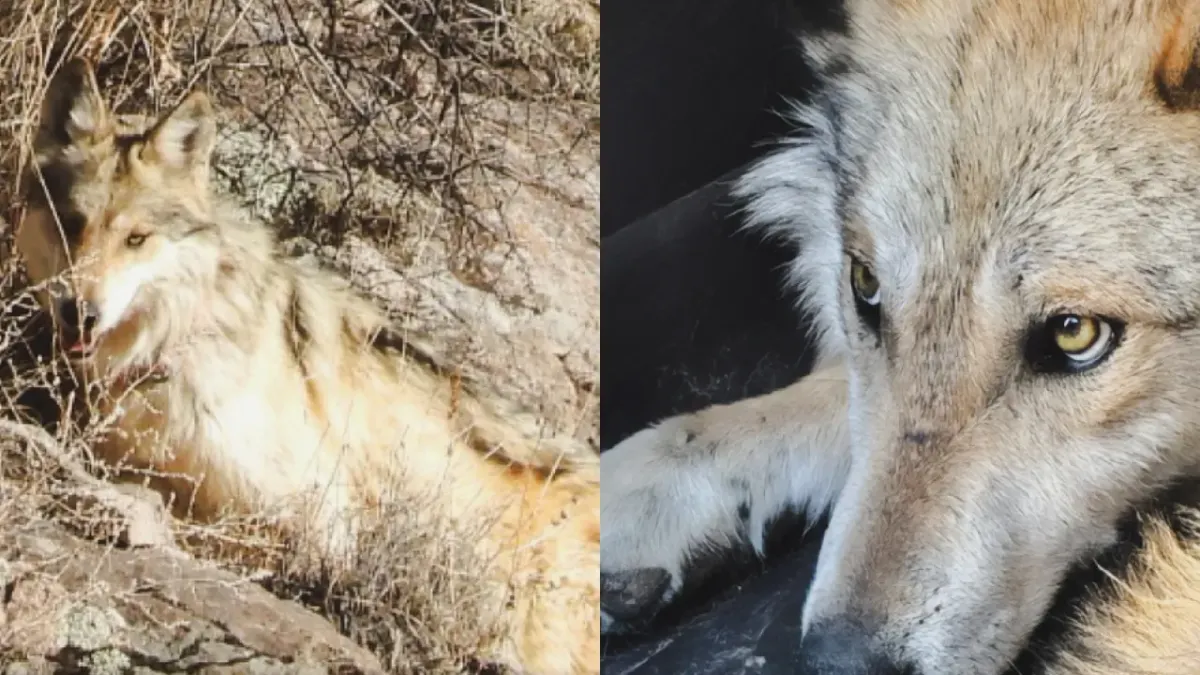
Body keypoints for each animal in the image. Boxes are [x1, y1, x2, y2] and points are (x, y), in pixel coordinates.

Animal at [13, 58, 600, 675]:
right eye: (71, 223)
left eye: (136, 239)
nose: (78, 312)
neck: (172, 347)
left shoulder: (316, 524)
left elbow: (211, 524)